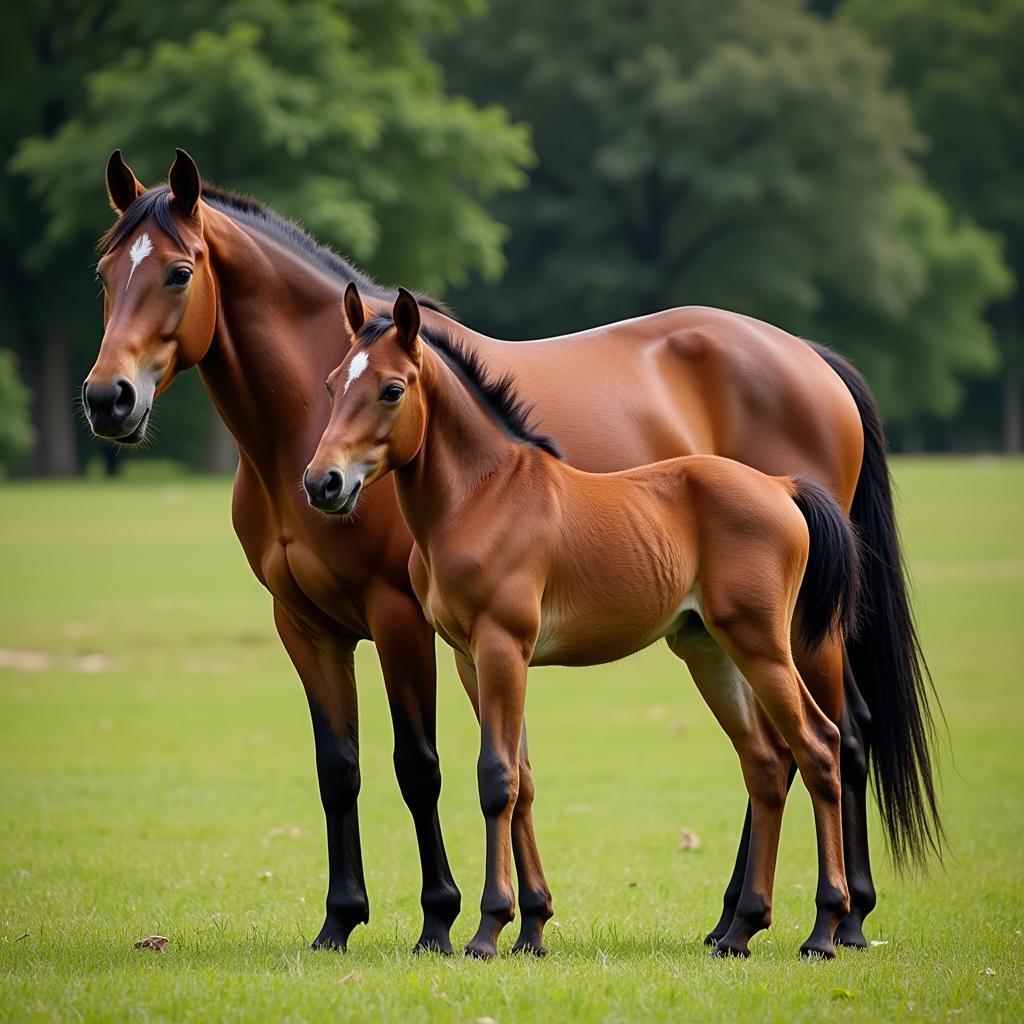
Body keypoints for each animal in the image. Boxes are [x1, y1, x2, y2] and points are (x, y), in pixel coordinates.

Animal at [305, 282, 864, 958]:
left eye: (391, 388)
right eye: (332, 383)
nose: (322, 483)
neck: (483, 496)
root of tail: (781, 486)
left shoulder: (503, 646)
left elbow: (496, 778)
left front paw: (488, 931)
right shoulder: (470, 658)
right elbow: (521, 780)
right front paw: (531, 930)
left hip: (764, 645)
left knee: (819, 747)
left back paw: (825, 929)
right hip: (709, 651)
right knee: (765, 763)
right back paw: (739, 930)